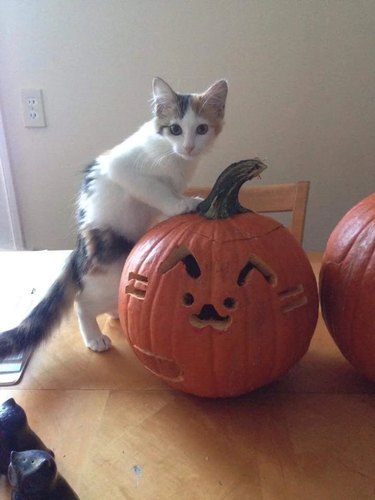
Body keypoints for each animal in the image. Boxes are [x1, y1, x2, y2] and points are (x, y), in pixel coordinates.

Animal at [0, 76, 229, 358]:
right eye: (175, 129)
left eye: (201, 129)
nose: (188, 147)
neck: (173, 156)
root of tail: (78, 251)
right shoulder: (121, 168)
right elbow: (155, 189)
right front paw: (182, 204)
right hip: (110, 271)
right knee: (82, 302)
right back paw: (94, 337)